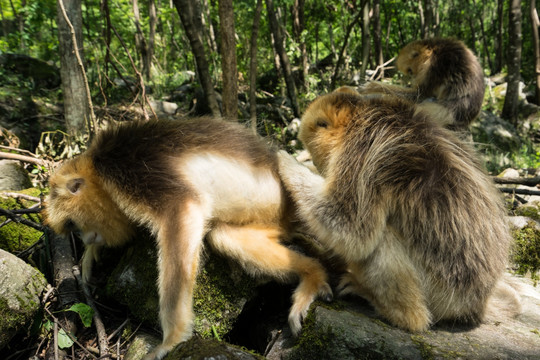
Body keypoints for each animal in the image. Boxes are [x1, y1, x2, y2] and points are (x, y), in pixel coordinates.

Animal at [44, 117, 332, 358]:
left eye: (72, 225)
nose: (85, 238)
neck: (97, 169)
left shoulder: (127, 170)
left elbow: (183, 207)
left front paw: (173, 338)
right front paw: (91, 255)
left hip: (285, 205)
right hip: (274, 221)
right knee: (224, 236)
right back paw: (313, 273)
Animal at [278, 89, 520, 332]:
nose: (317, 164)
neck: (360, 116)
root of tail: (477, 304)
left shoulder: (360, 148)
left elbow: (350, 230)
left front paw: (285, 161)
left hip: (441, 293)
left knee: (382, 239)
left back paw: (391, 308)